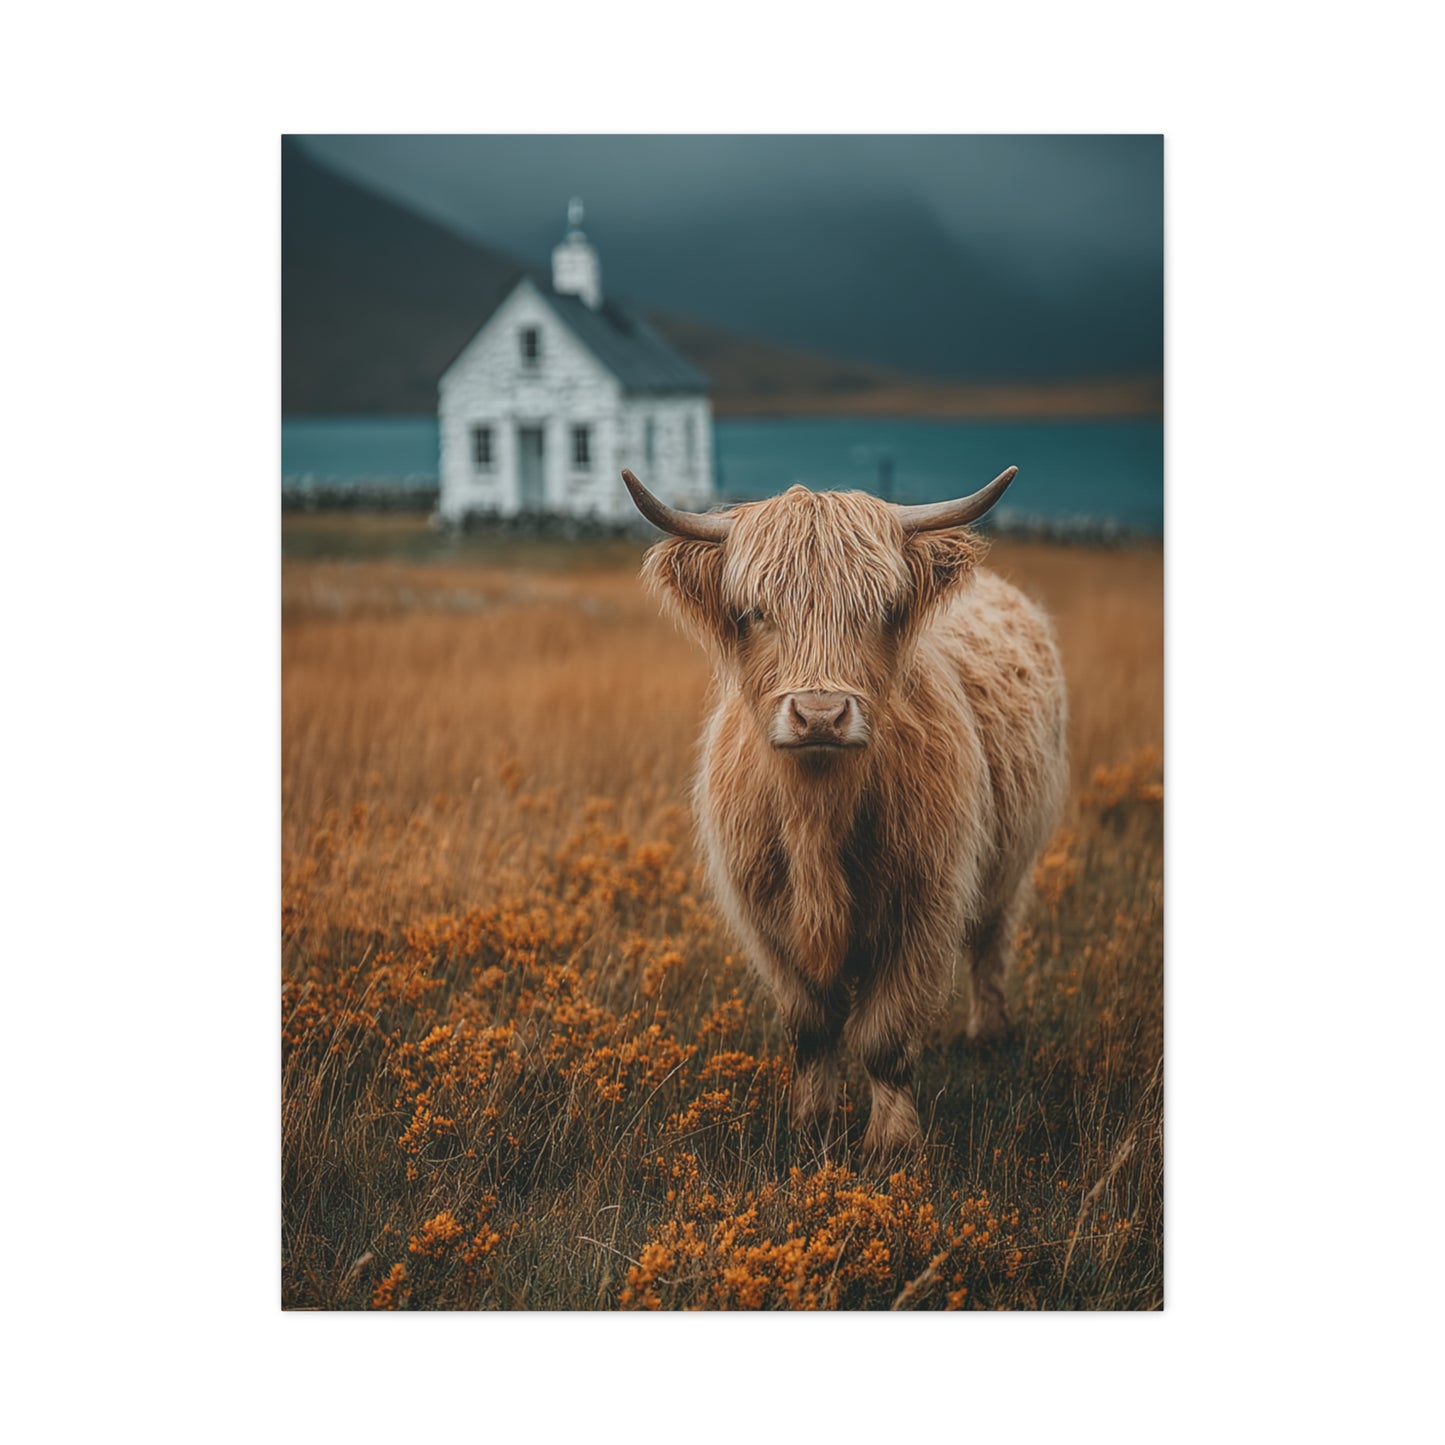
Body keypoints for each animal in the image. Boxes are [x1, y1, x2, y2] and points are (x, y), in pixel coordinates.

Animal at [623, 466, 1068, 1161]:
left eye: (881, 610)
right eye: (755, 612)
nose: (820, 715)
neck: (818, 817)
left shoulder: (925, 908)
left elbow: (885, 1039)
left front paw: (891, 1145)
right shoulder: (766, 919)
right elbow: (811, 1027)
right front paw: (811, 1126)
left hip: (1010, 865)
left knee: (992, 942)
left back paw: (990, 1036)